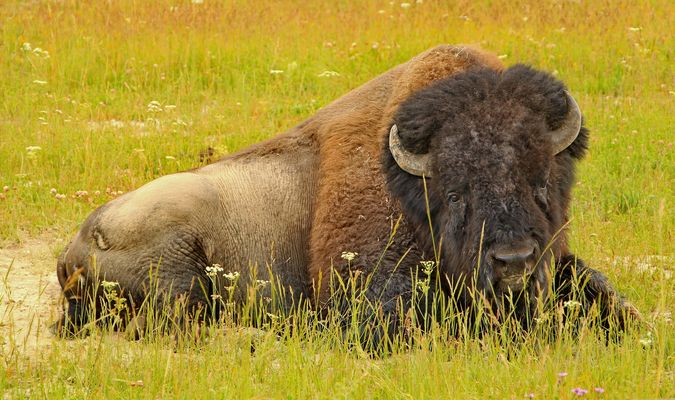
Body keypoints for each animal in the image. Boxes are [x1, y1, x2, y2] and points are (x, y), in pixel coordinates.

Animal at [54, 45, 637, 340]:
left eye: (543, 183)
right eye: (455, 194)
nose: (513, 261)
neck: (410, 189)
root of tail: (77, 245)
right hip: (181, 278)